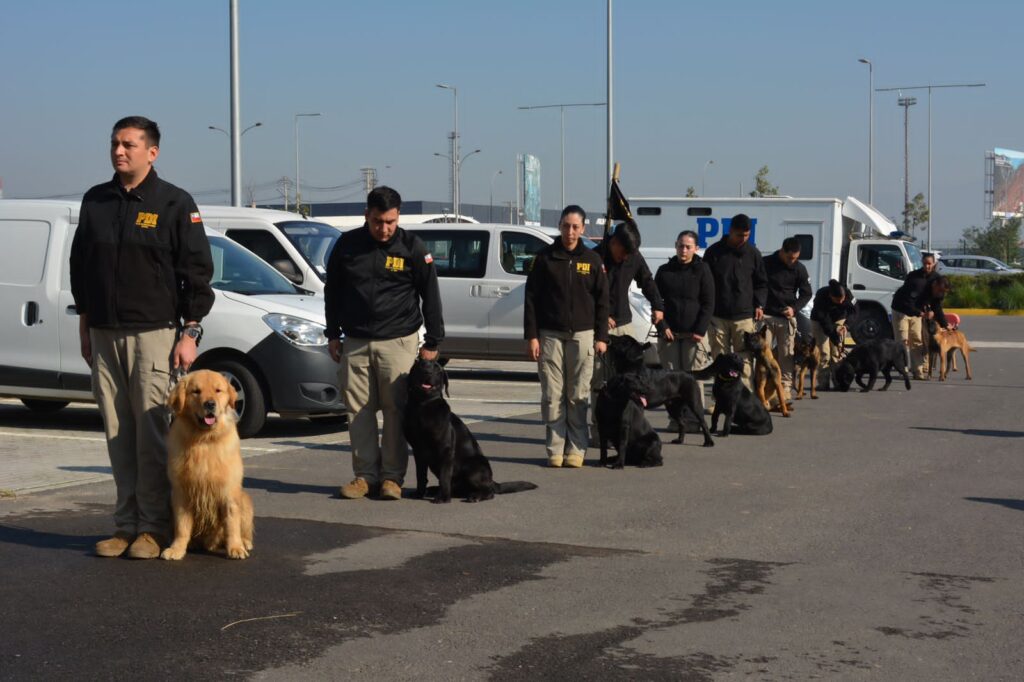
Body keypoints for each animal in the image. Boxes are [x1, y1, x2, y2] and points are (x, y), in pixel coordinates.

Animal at [162, 372, 254, 557]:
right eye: (196, 391)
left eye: (218, 390)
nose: (210, 404)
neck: (204, 439)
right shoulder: (180, 492)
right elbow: (181, 526)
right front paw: (177, 549)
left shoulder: (229, 490)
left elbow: (232, 523)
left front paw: (235, 548)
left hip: (245, 500)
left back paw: (245, 543)